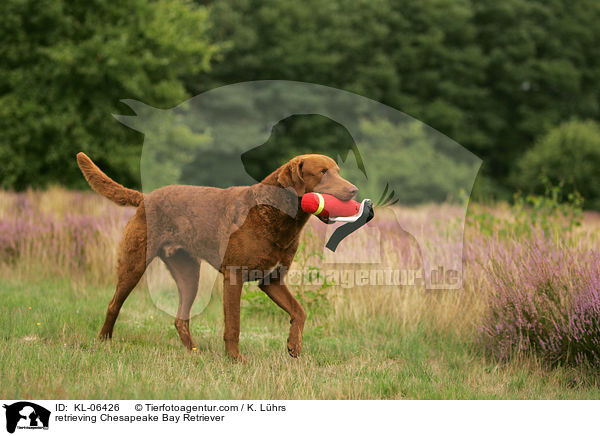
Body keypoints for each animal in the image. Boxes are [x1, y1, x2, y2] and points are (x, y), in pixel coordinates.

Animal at [75, 153, 356, 362]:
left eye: (338, 170)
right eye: (322, 172)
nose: (354, 190)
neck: (277, 214)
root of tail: (145, 197)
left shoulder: (272, 280)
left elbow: (299, 311)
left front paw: (293, 345)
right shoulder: (234, 276)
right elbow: (233, 325)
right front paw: (235, 359)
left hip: (189, 273)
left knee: (180, 319)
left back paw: (193, 352)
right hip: (134, 263)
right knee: (114, 304)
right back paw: (103, 342)